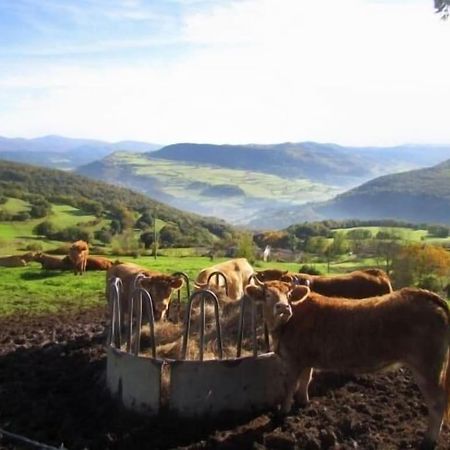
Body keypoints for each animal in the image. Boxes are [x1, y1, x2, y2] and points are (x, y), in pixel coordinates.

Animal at [246, 282, 450, 450]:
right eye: (267, 294)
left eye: (288, 294)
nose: (283, 308)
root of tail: (424, 294)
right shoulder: (306, 360)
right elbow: (305, 380)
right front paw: (303, 402)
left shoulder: (294, 360)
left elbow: (289, 387)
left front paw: (282, 414)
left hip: (427, 368)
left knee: (437, 403)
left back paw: (428, 441)